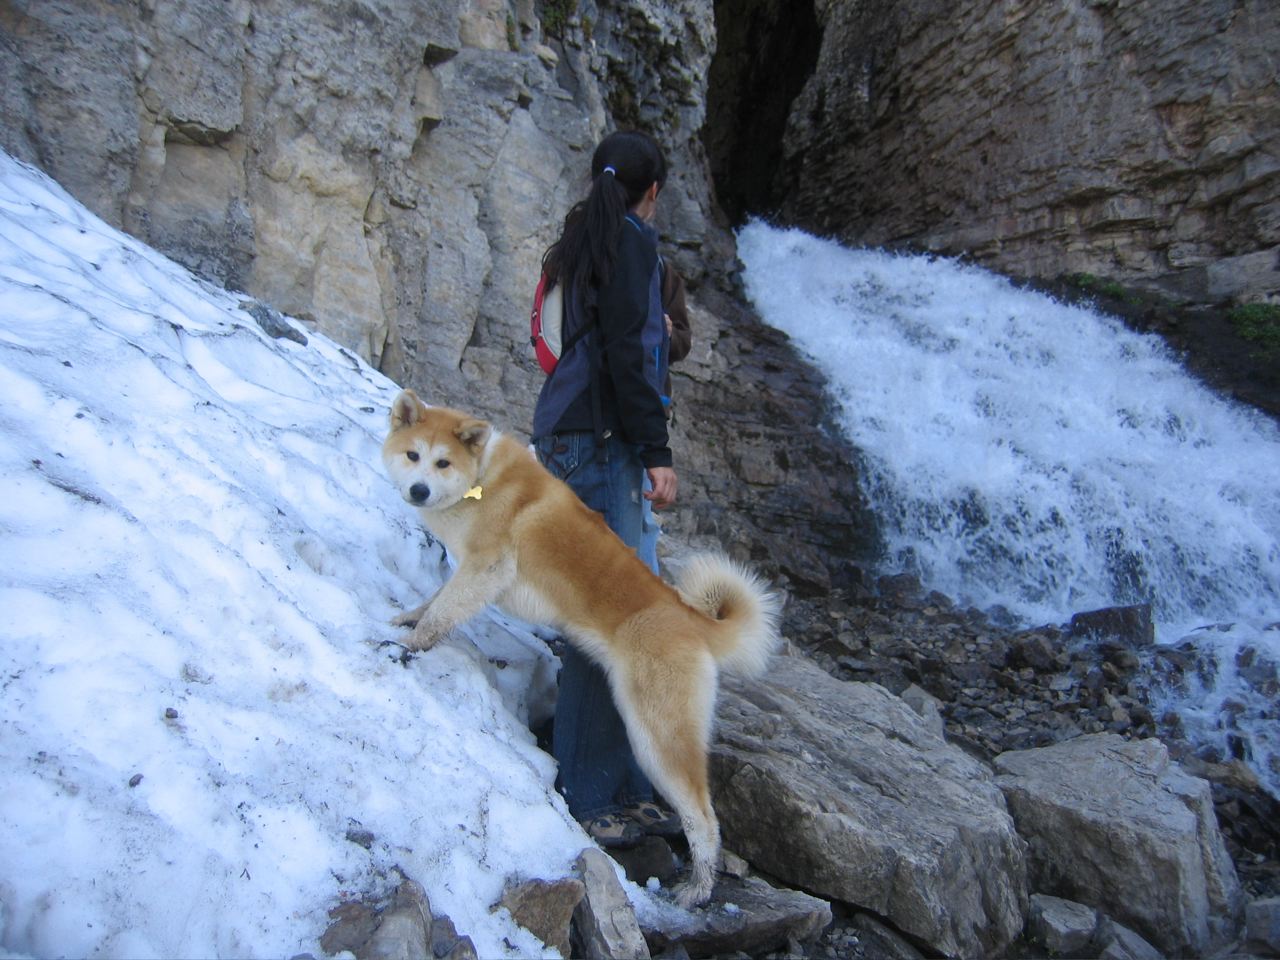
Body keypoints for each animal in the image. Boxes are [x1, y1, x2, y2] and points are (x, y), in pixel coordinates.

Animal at [378, 391, 778, 911]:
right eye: (413, 455)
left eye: (442, 462)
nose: (419, 490)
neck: (481, 480)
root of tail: (689, 618)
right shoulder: (468, 573)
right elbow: (435, 602)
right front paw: (406, 618)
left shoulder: (485, 570)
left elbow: (441, 614)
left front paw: (409, 644)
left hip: (657, 738)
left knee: (704, 820)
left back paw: (697, 888)